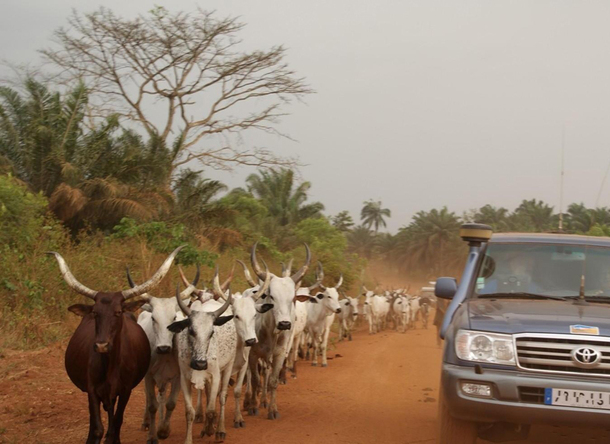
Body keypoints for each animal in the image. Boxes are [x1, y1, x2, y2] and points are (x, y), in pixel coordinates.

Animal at [47, 246, 183, 444]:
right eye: (95, 313)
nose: (101, 345)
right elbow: (97, 428)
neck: (110, 365)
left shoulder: (126, 390)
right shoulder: (92, 390)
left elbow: (115, 425)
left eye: (118, 312)